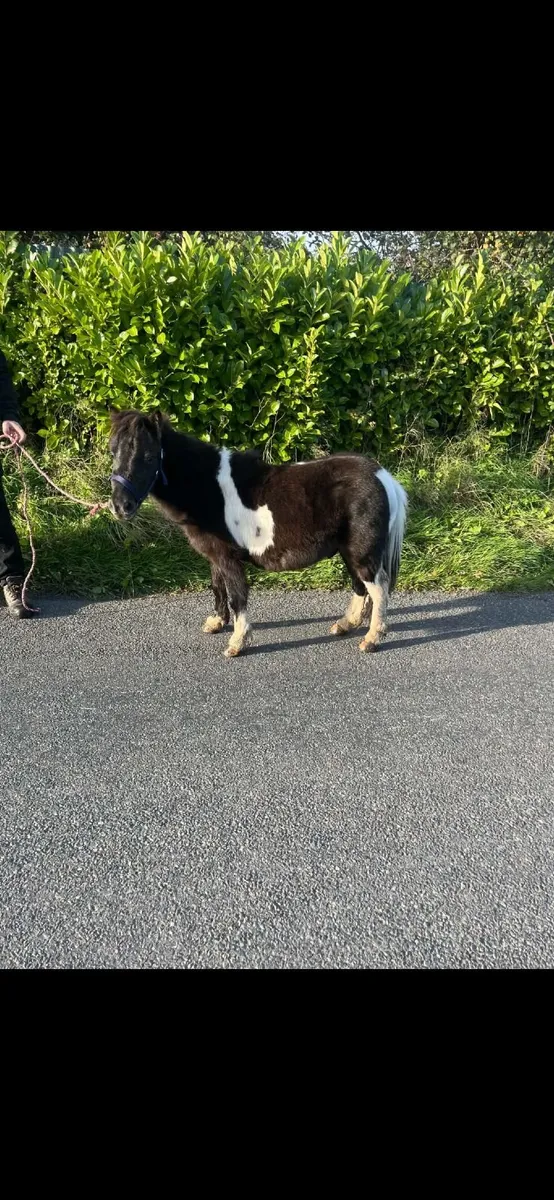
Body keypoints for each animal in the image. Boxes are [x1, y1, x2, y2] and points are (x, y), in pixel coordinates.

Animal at [109, 409, 408, 658]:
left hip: (361, 550)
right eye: (113, 452)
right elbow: (217, 587)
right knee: (360, 586)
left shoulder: (228, 558)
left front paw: (237, 643)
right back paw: (345, 626)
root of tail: (381, 475)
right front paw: (216, 623)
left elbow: (237, 597)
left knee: (378, 589)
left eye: (149, 457)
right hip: (349, 550)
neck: (208, 487)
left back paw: (372, 639)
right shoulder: (216, 556)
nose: (121, 506)